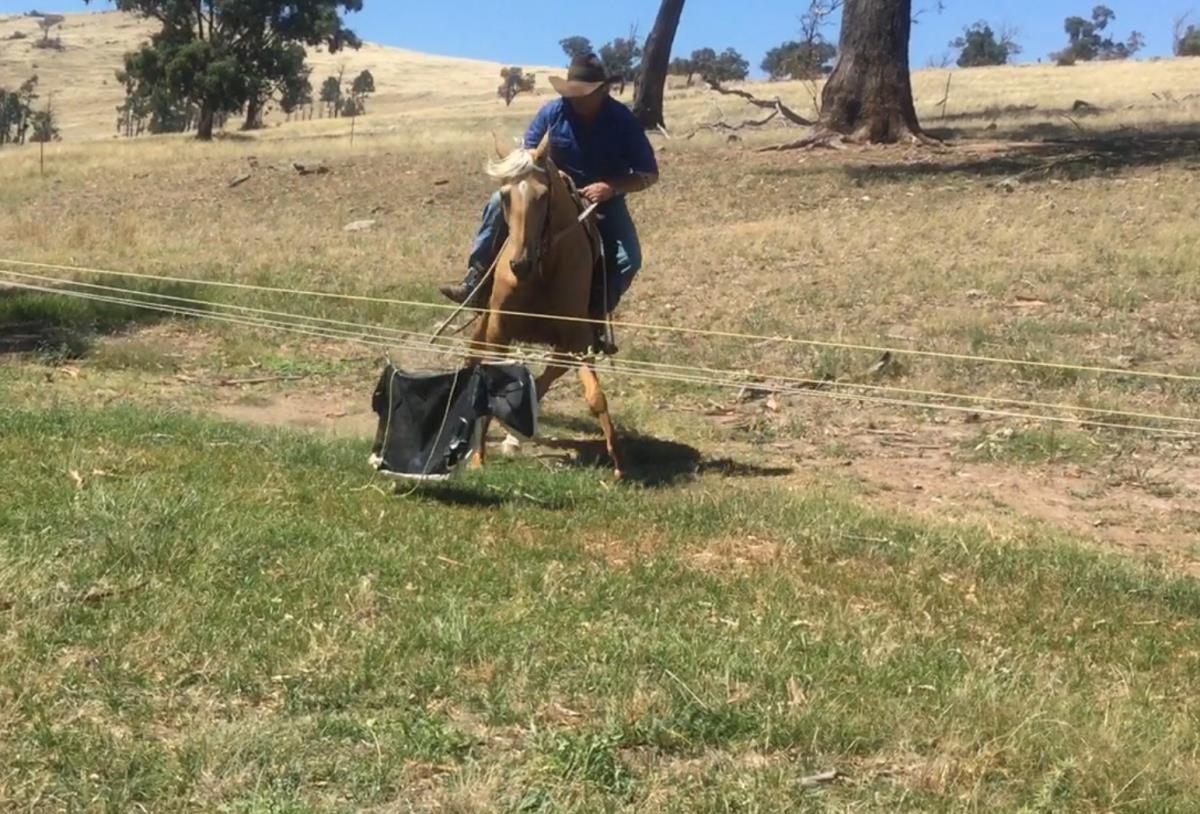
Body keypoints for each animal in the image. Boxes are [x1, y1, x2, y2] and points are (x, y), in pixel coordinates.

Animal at [465, 132, 624, 479]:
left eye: (543, 195)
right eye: (505, 196)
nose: (519, 264)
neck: (541, 271)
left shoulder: (577, 339)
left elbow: (596, 397)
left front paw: (618, 461)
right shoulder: (498, 330)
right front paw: (478, 457)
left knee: (547, 375)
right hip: (485, 324)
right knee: (473, 360)